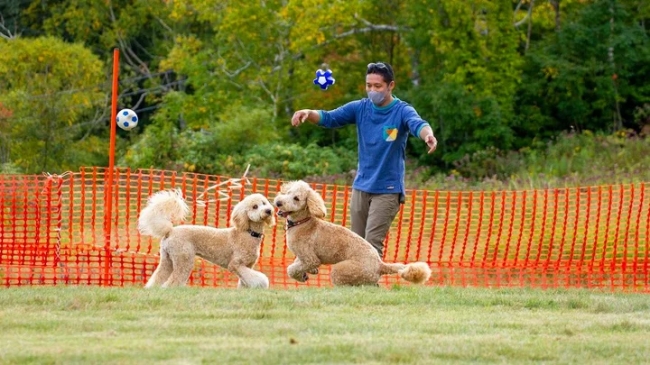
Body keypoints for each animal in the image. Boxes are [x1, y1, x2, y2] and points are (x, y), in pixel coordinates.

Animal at [139, 189, 274, 288]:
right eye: (255, 206)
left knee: (158, 278)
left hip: (168, 260)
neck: (249, 233)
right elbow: (257, 278)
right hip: (184, 259)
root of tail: (170, 231)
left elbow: (245, 282)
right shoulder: (235, 265)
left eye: (264, 203)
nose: (268, 210)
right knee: (173, 282)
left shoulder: (248, 266)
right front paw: (262, 283)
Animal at [274, 181, 430, 286]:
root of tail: (380, 265)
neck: (302, 222)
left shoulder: (310, 258)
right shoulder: (302, 257)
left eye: (296, 198)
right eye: (288, 193)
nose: (278, 202)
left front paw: (302, 275)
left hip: (343, 270)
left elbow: (291, 269)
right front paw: (308, 274)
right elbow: (296, 265)